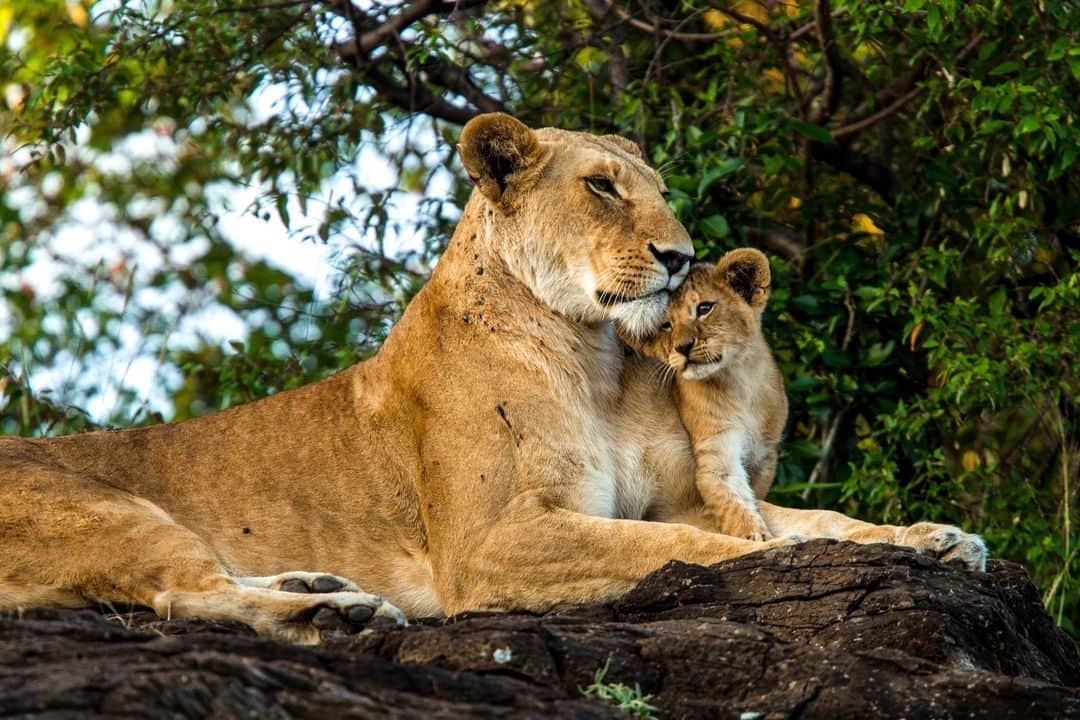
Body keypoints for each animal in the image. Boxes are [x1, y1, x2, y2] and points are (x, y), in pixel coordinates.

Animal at [622, 248, 784, 541]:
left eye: (704, 309)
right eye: (665, 325)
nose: (683, 347)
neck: (739, 382)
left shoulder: (766, 454)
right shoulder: (714, 447)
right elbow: (731, 499)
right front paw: (755, 536)